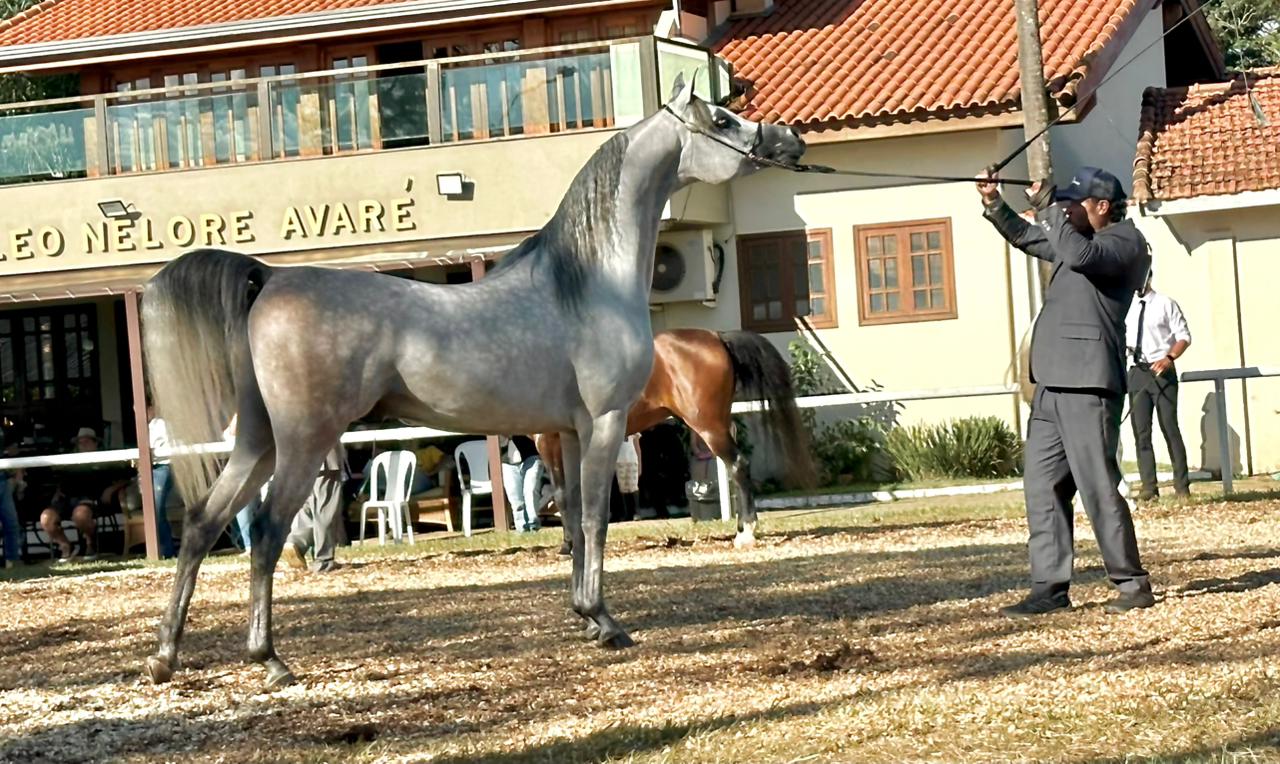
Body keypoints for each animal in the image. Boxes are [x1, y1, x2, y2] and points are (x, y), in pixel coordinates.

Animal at [537, 328, 816, 549]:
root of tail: (716, 336)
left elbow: (562, 495)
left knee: (738, 466)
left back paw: (746, 534)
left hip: (708, 427)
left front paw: (568, 545)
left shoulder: (548, 441)